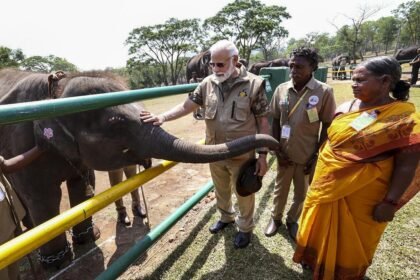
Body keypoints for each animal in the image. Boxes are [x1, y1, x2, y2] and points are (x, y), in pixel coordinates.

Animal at [0, 68, 278, 270]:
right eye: (116, 124)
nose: (273, 146)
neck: (54, 94)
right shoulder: (20, 142)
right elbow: (42, 196)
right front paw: (58, 263)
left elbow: (81, 185)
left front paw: (88, 239)